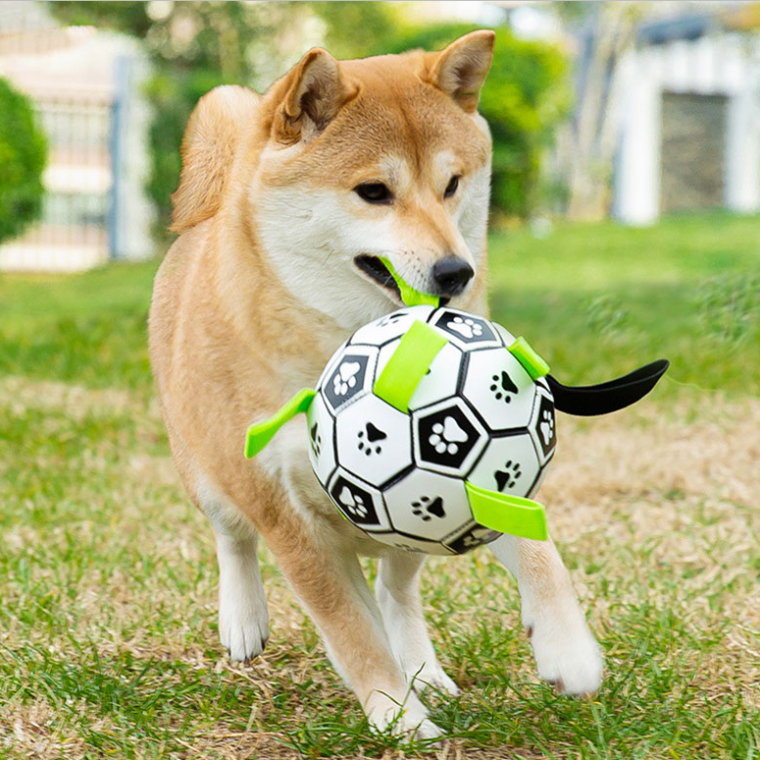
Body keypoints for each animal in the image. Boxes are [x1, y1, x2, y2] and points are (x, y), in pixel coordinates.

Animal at [147, 32, 600, 740]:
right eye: (372, 191)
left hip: (413, 521)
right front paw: (398, 717)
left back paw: (424, 670)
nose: (456, 271)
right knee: (234, 536)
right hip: (208, 471)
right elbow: (351, 632)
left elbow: (536, 549)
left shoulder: (491, 467)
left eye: (451, 185)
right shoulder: (287, 517)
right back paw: (244, 618)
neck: (342, 340)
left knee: (395, 589)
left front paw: (567, 647)